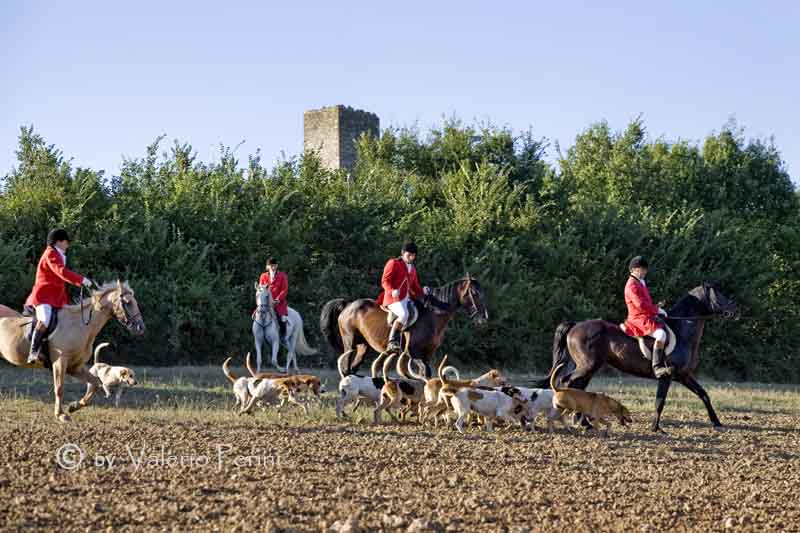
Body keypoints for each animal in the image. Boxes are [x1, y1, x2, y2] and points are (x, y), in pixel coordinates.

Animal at [0, 280, 145, 422]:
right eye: (128, 302)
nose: (141, 327)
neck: (79, 326)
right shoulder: (60, 362)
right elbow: (59, 388)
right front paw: (60, 414)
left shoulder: (75, 367)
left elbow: (95, 383)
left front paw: (73, 407)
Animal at [318, 274, 488, 378]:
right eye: (474, 293)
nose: (484, 317)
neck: (432, 314)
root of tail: (348, 305)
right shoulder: (414, 353)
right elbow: (424, 374)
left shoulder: (427, 354)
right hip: (349, 343)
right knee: (346, 368)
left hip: (363, 346)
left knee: (353, 368)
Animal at [536, 282, 736, 432]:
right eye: (718, 294)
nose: (735, 310)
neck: (682, 331)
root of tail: (576, 325)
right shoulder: (667, 376)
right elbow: (660, 401)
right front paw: (655, 428)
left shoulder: (684, 375)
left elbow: (704, 394)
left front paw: (717, 422)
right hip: (587, 366)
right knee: (569, 382)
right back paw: (579, 420)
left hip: (590, 367)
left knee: (579, 387)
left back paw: (584, 422)